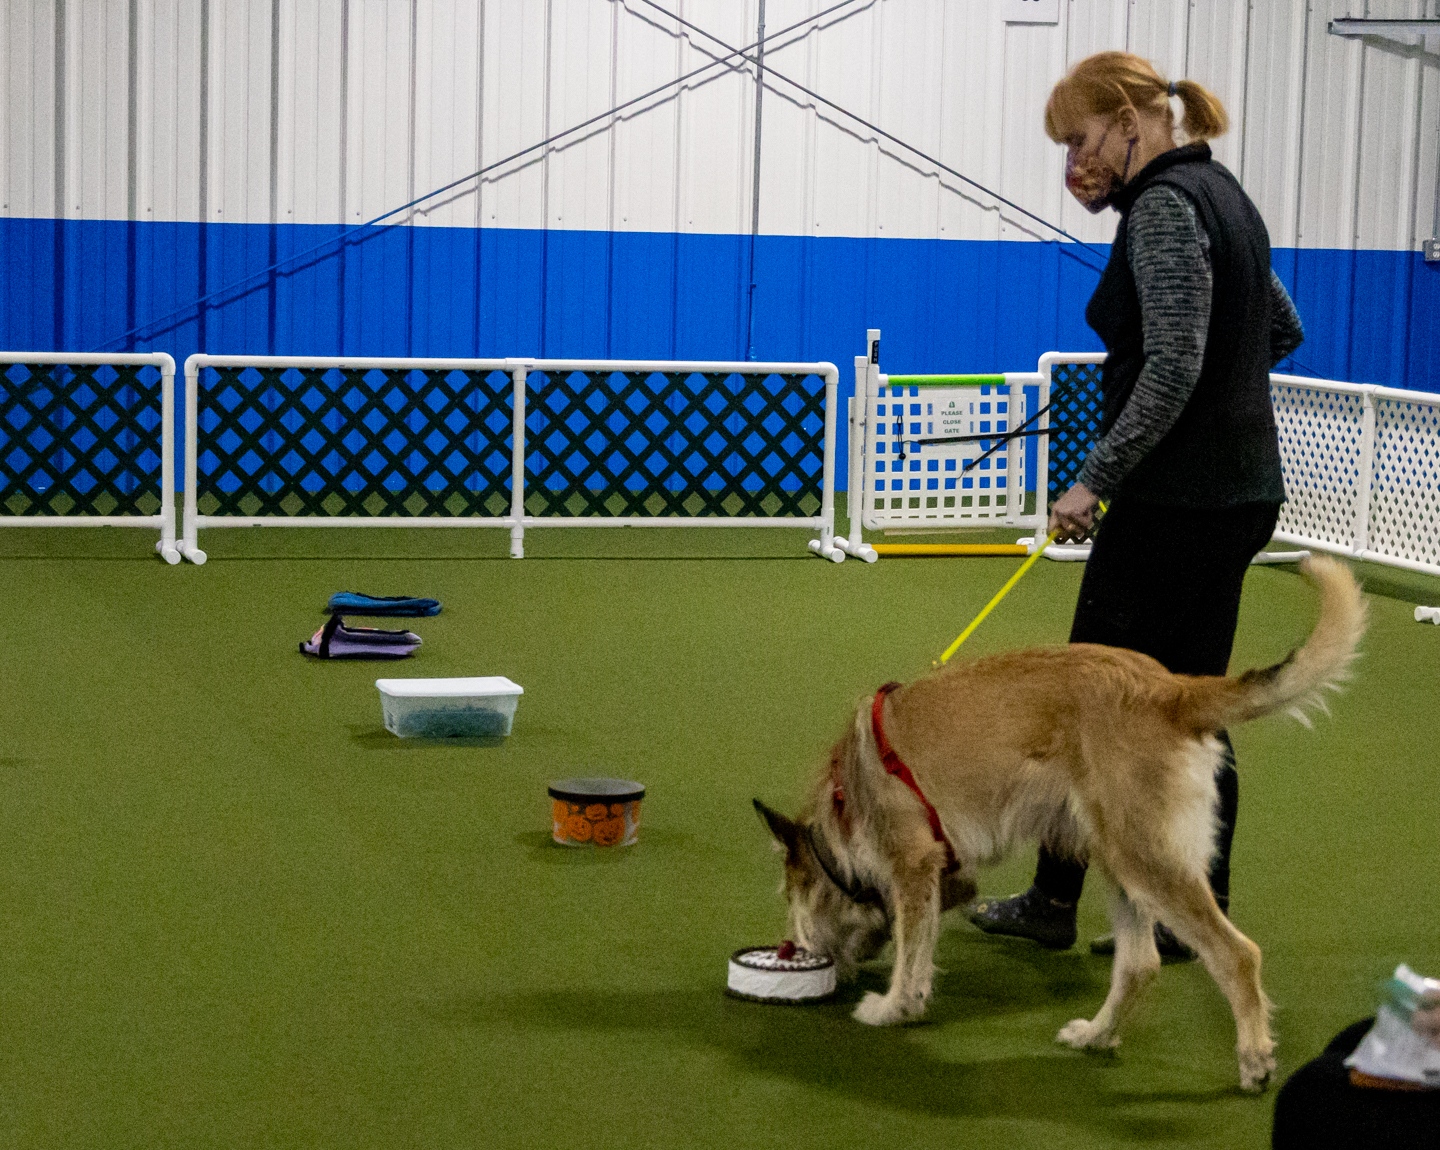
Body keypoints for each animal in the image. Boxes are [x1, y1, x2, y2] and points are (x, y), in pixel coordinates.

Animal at [754, 555, 1365, 1092]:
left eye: (791, 895)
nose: (791, 949)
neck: (847, 797)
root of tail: (1170, 688)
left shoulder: (913, 866)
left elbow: (910, 953)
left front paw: (891, 1008)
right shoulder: (943, 877)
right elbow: (919, 948)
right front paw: (910, 995)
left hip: (1148, 861)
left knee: (1236, 955)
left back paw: (1253, 1057)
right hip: (1118, 859)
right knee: (1140, 964)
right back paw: (1098, 1035)